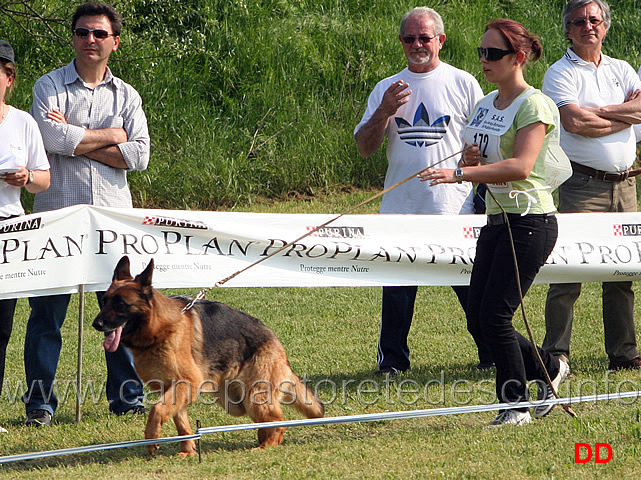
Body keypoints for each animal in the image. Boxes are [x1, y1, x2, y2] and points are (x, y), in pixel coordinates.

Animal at [92, 256, 322, 456]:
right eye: (105, 300)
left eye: (121, 304)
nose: (96, 324)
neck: (160, 328)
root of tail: (276, 342)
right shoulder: (174, 388)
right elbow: (180, 422)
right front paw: (188, 451)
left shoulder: (187, 382)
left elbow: (156, 409)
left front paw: (152, 438)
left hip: (253, 396)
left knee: (278, 421)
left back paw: (266, 446)